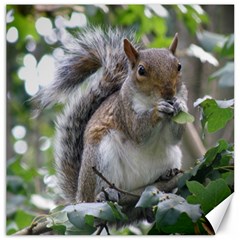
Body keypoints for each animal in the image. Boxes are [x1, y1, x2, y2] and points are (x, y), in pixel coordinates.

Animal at [32, 26, 188, 214]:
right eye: (141, 70)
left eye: (179, 66)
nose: (169, 93)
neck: (151, 100)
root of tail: (79, 198)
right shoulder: (124, 111)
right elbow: (139, 131)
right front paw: (158, 111)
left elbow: (175, 137)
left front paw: (180, 106)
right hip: (99, 157)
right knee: (97, 192)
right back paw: (105, 195)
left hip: (173, 156)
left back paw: (166, 176)